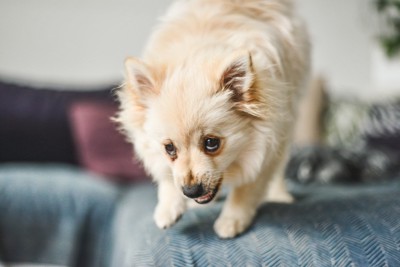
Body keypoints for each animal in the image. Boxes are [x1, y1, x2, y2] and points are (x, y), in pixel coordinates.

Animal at [115, 0, 310, 239]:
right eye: (169, 149)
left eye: (211, 143)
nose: (190, 191)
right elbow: (168, 175)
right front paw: (168, 207)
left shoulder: (271, 140)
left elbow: (250, 186)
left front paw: (232, 219)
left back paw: (279, 195)